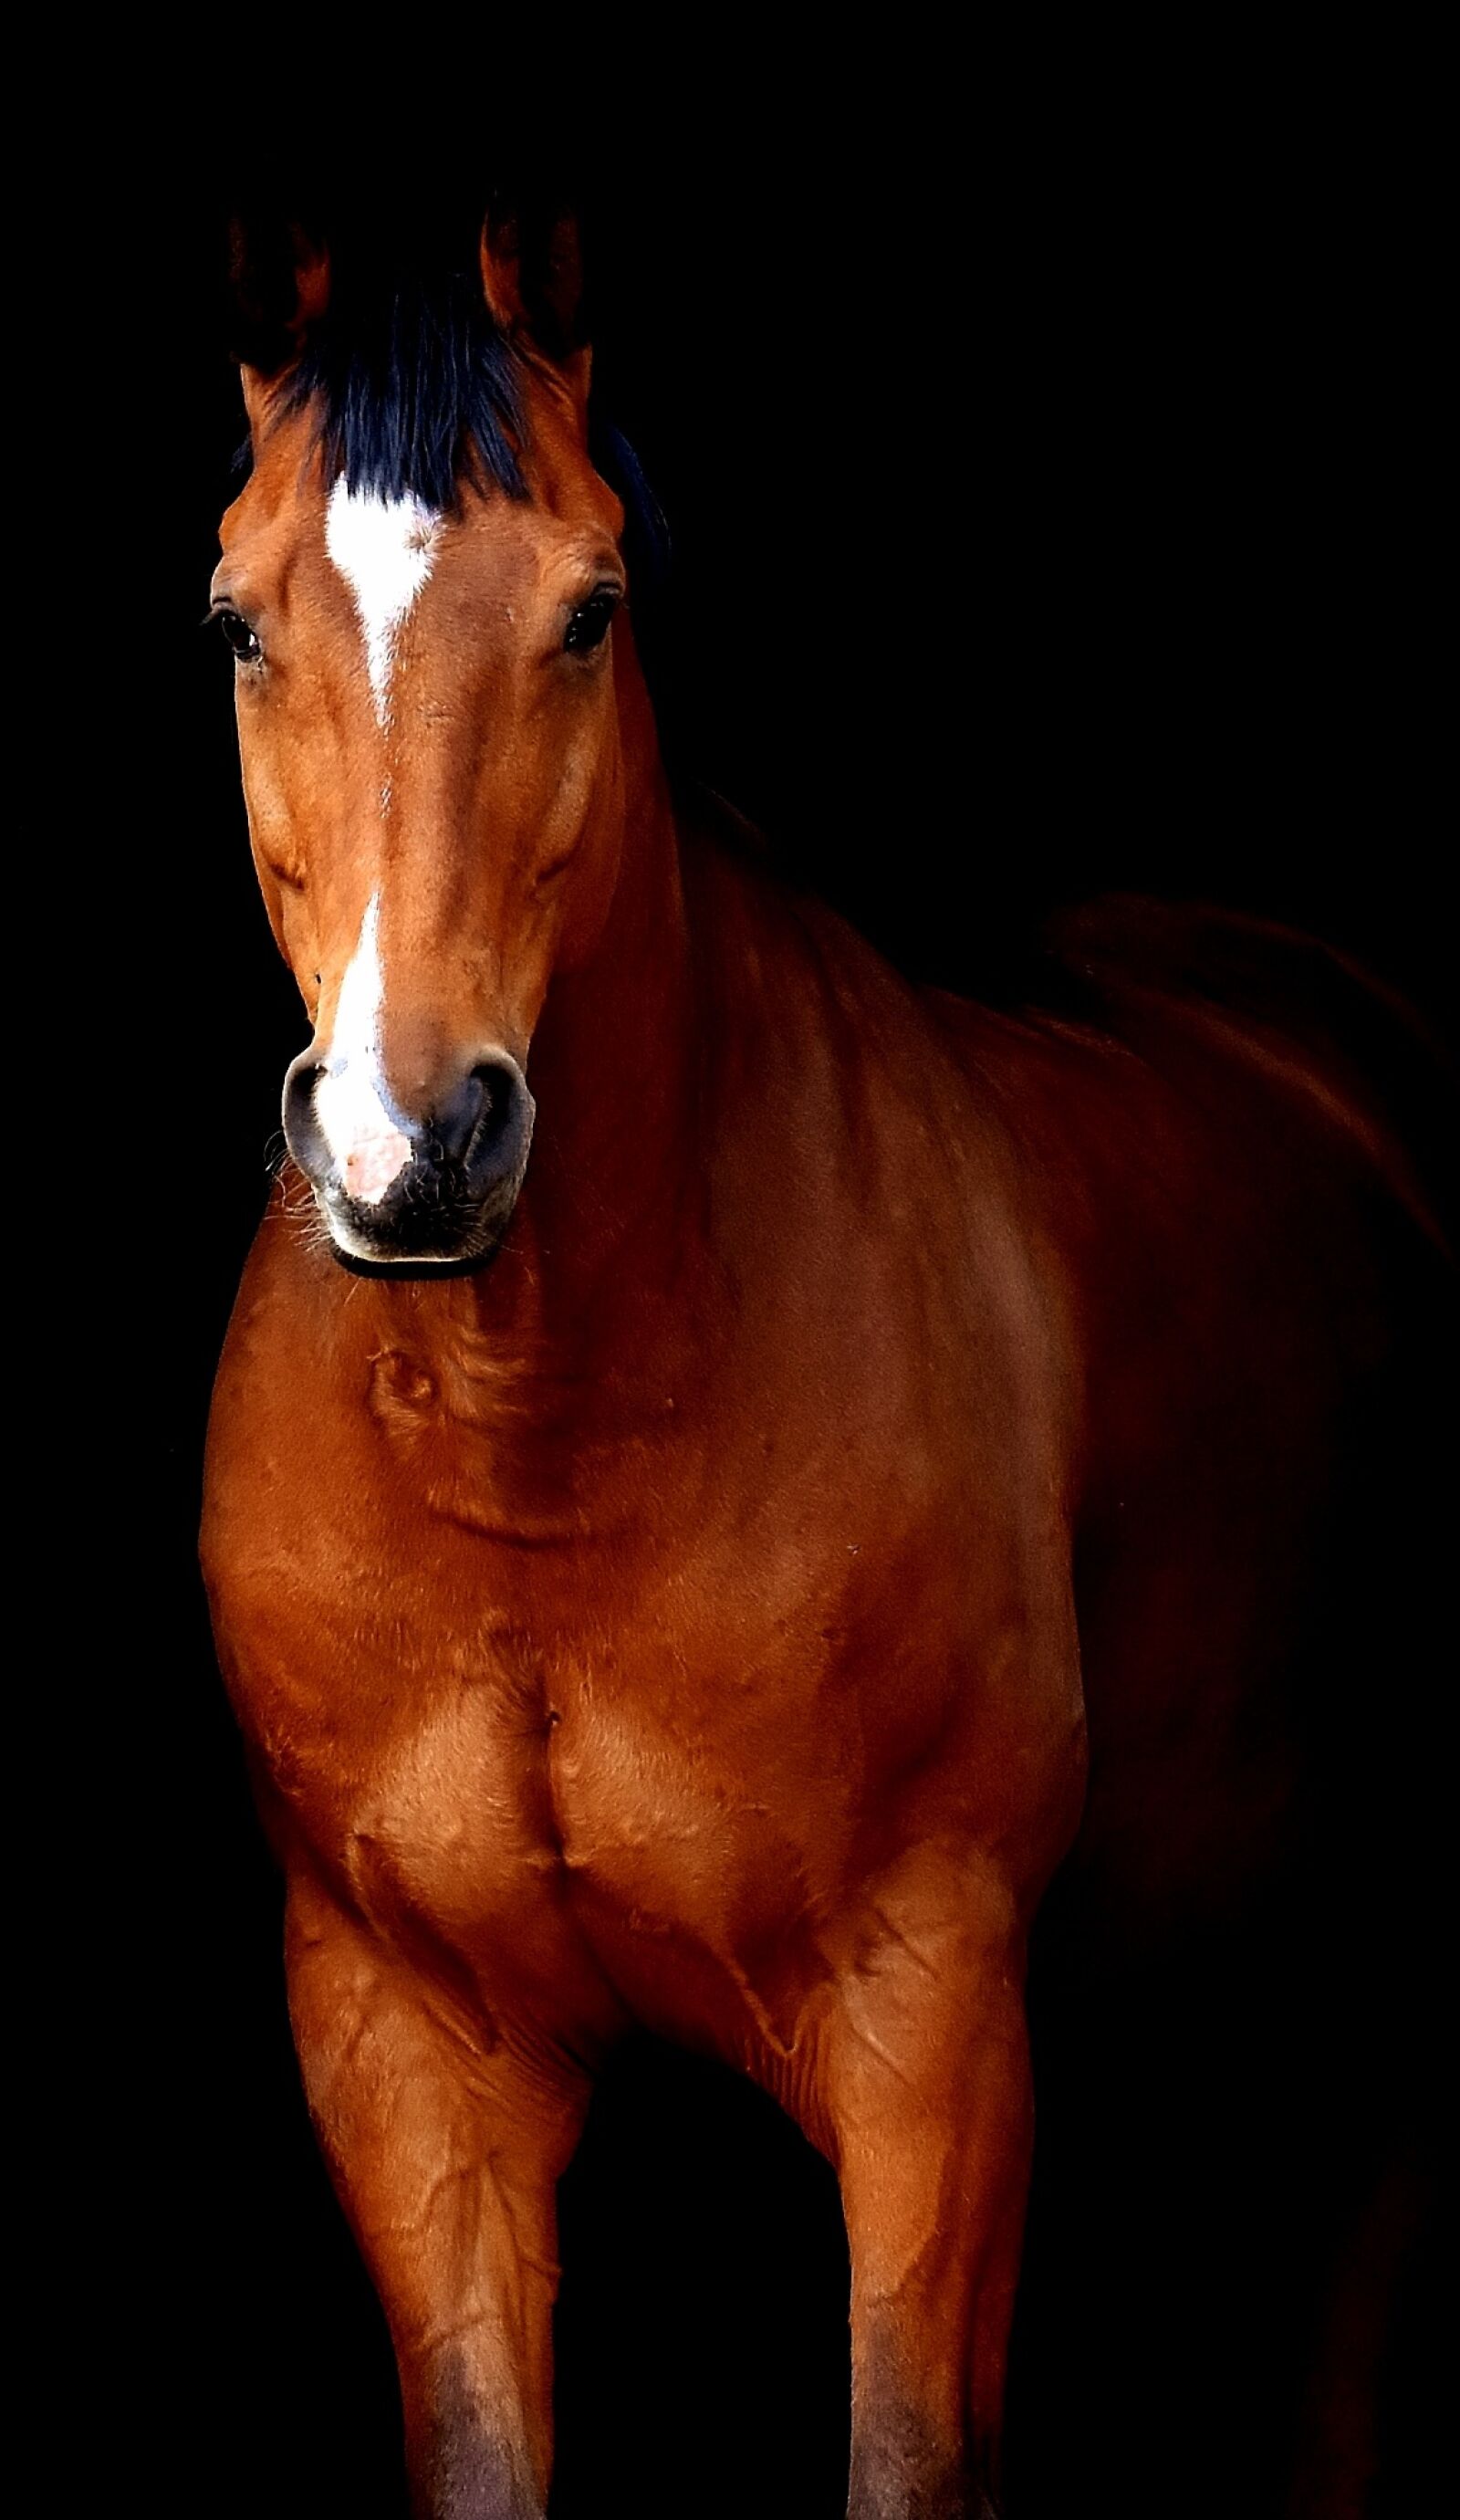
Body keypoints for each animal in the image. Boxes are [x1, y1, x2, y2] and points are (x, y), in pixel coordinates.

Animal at [200, 196, 1447, 2519]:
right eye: (236, 620)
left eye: (589, 609)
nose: (415, 1144)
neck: (538, 1453)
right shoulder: (405, 2047)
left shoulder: (925, 2023)